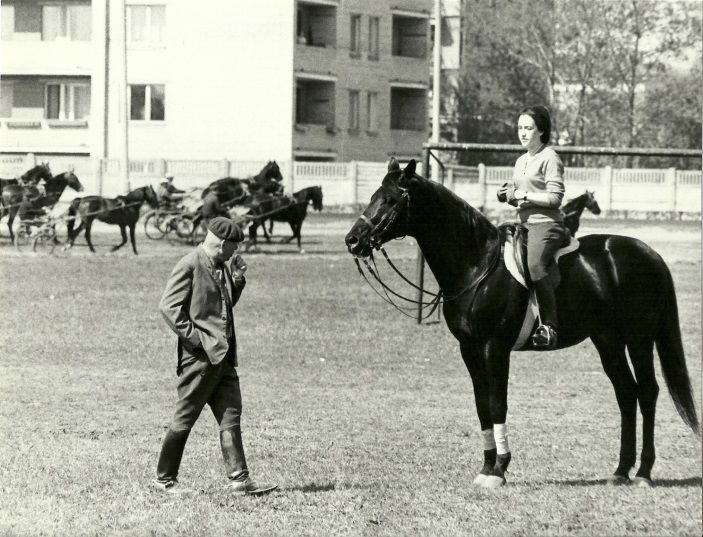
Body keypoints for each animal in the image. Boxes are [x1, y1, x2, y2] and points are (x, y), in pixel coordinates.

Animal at [346, 157, 700, 488]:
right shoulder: (470, 349)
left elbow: (497, 404)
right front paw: (487, 466)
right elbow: (482, 406)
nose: (352, 240)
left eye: (390, 199)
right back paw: (621, 470)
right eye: (374, 195)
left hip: (639, 338)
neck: (478, 265)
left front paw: (499, 469)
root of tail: (649, 254)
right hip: (608, 340)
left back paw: (643, 472)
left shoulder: (495, 348)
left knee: (648, 392)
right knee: (627, 393)